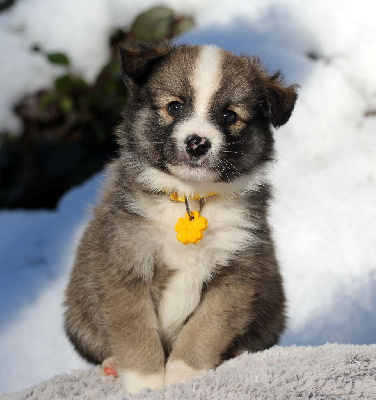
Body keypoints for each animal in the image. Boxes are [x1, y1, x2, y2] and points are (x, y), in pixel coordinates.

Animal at [65, 43, 300, 394]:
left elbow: (207, 328)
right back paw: (111, 365)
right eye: (174, 107)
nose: (197, 142)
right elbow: (135, 333)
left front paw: (183, 373)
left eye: (230, 115)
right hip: (78, 316)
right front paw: (146, 382)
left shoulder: (238, 273)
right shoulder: (126, 267)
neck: (190, 199)